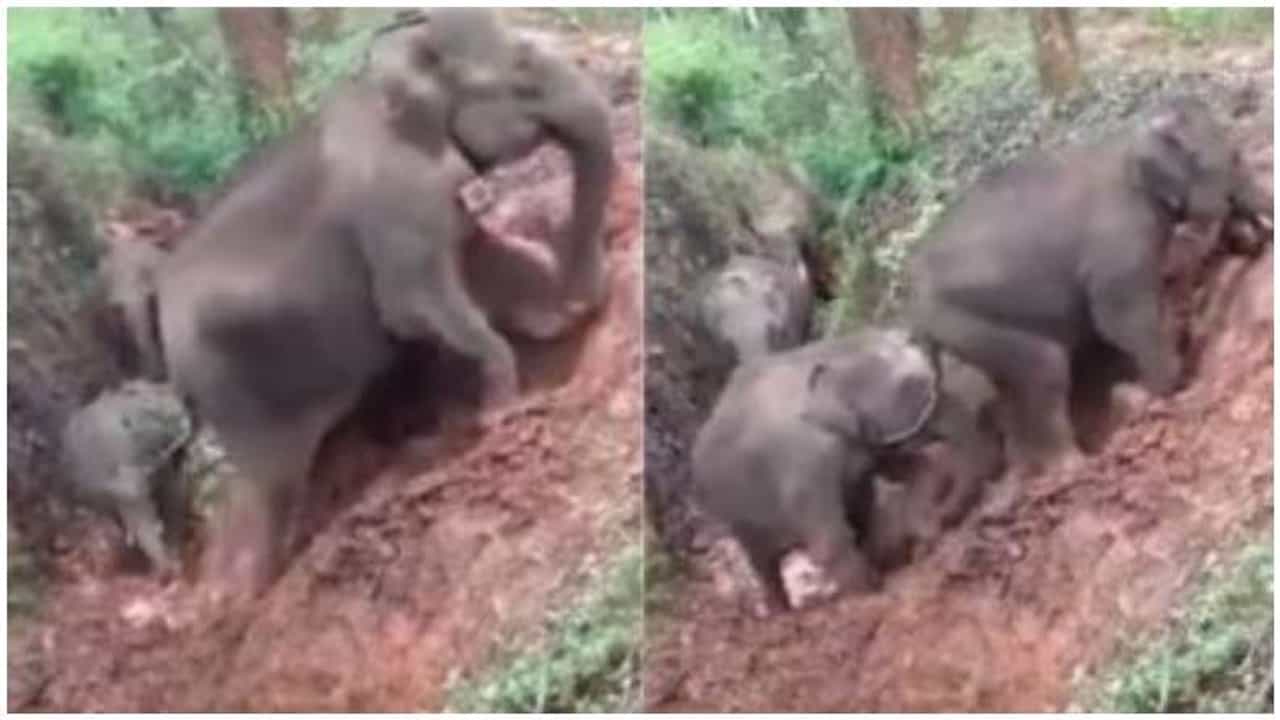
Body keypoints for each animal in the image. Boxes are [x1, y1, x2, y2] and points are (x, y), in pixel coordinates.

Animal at [154, 8, 615, 592]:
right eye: (522, 68)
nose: (589, 304)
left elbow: (481, 262)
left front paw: (545, 323)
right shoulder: (397, 201)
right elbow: (414, 306)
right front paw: (503, 409)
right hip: (239, 395)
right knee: (270, 490)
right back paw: (250, 591)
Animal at [692, 328, 1004, 615]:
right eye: (909, 386)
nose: (949, 519)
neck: (828, 352)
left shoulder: (863, 441)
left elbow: (917, 469)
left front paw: (927, 541)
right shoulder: (804, 464)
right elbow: (829, 540)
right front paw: (870, 594)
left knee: (858, 520)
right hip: (735, 514)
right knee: (764, 563)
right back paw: (784, 614)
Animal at [908, 94, 1271, 485]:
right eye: (1233, 157)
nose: (1255, 242)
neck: (1128, 139)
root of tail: (913, 303)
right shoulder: (1120, 241)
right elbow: (1118, 321)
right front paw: (1159, 391)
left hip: (968, 329)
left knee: (1010, 388)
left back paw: (1032, 469)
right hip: (968, 316)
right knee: (1045, 367)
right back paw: (1073, 467)